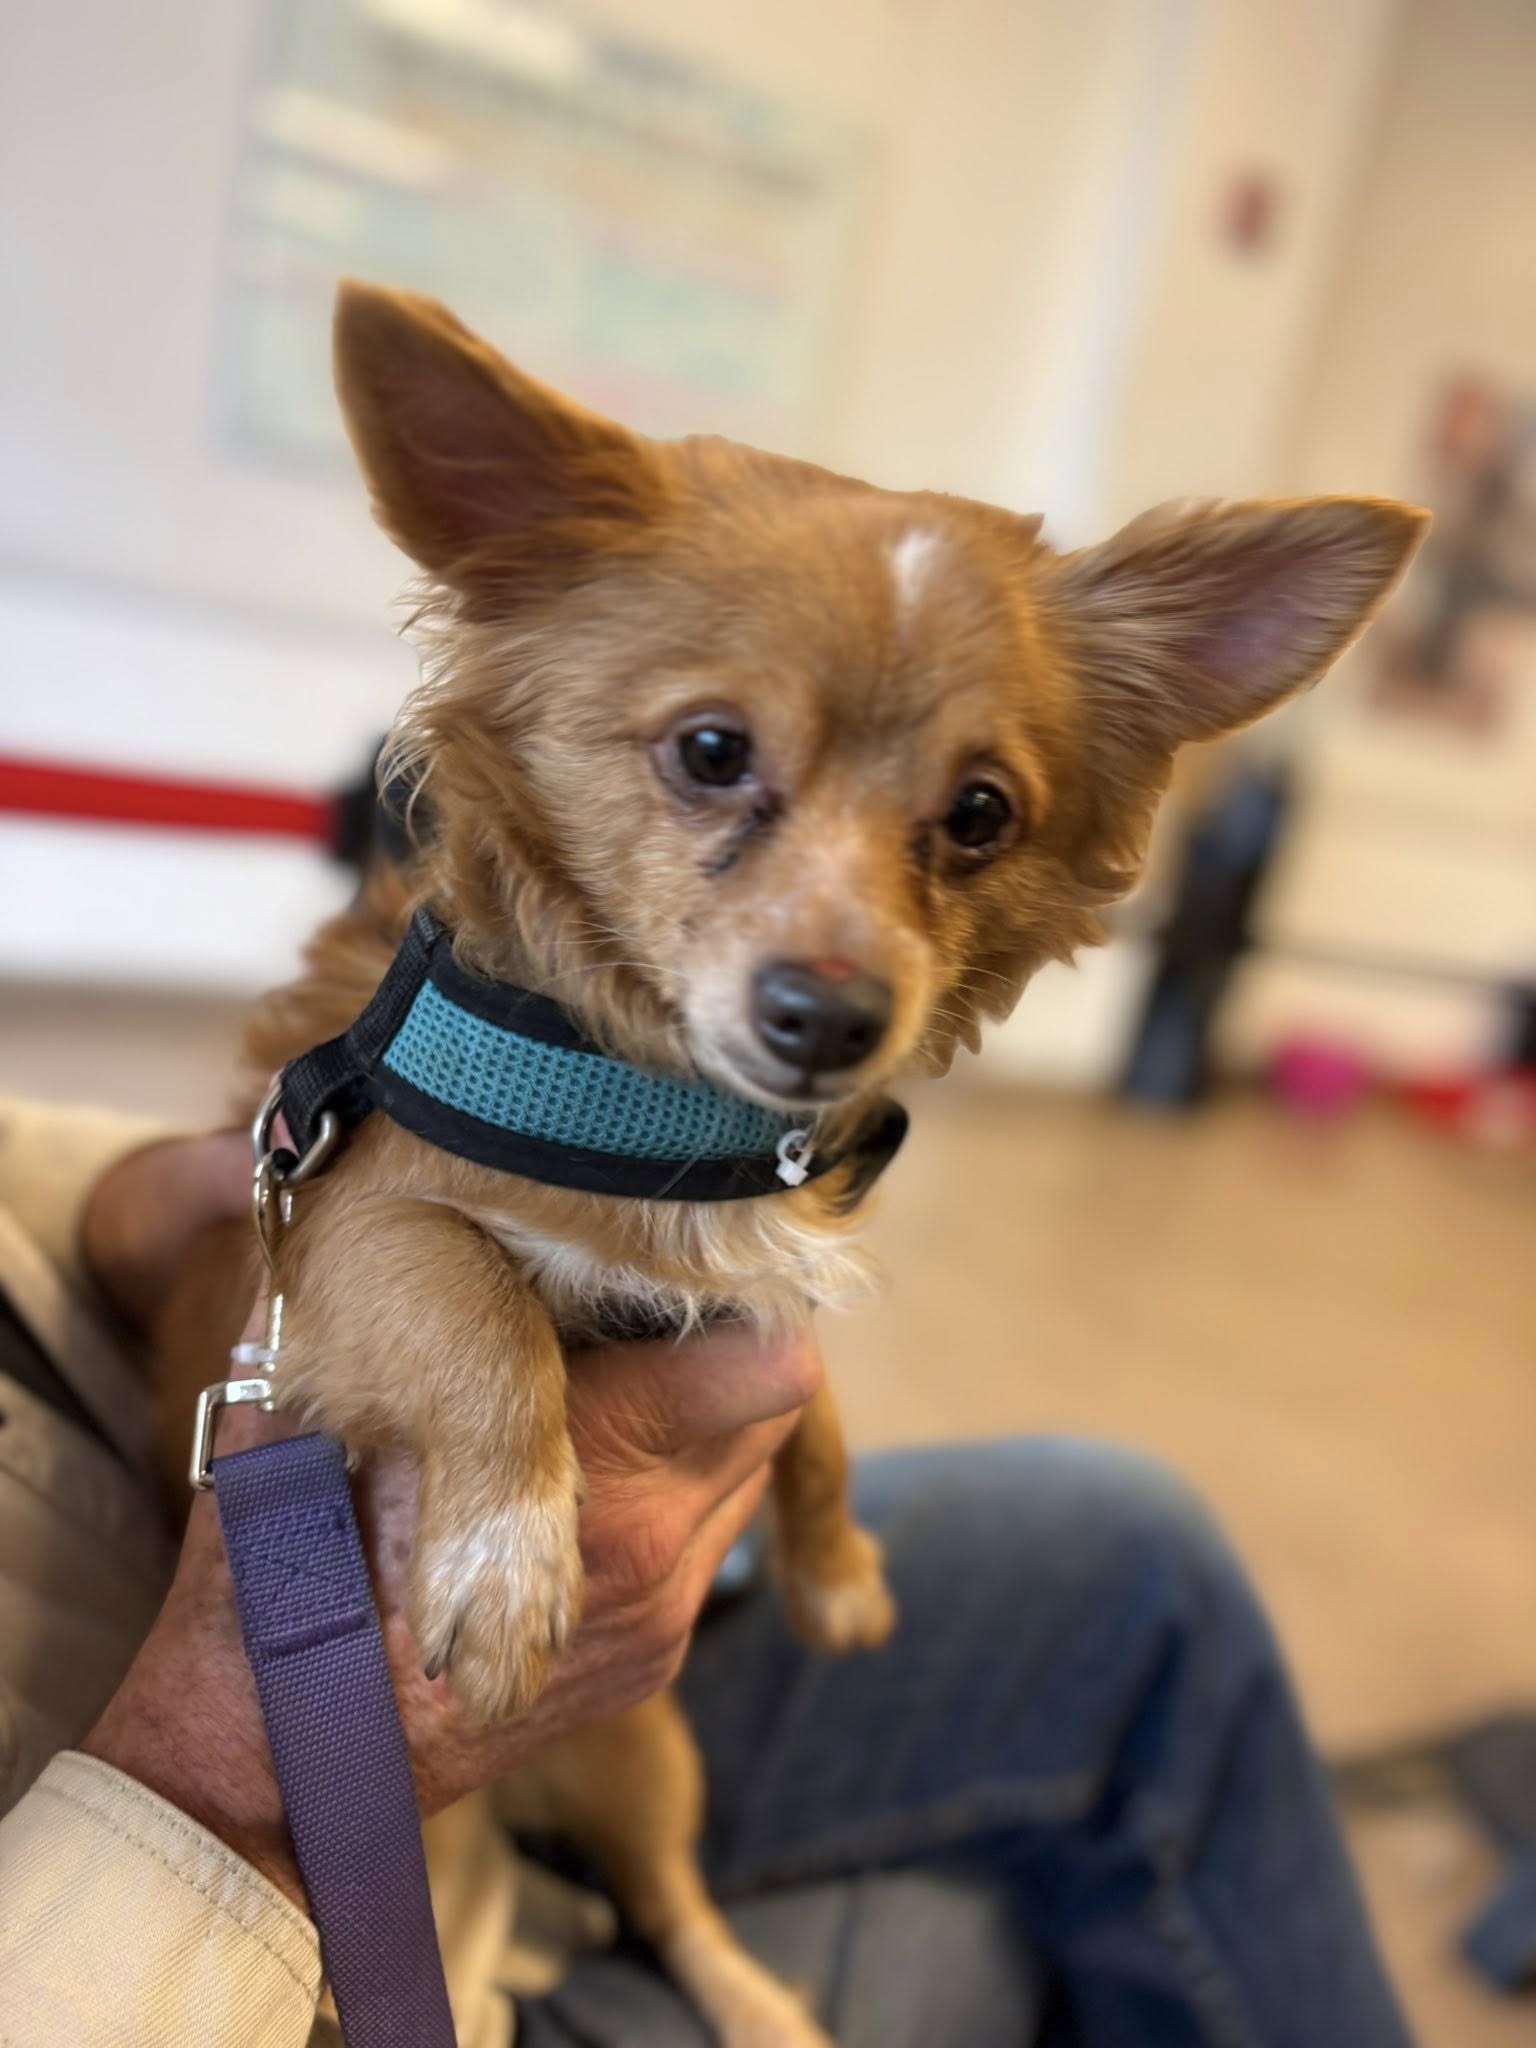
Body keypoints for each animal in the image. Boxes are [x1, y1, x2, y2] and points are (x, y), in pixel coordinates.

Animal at [157, 280, 1426, 2045]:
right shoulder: (337, 1234)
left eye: (982, 813)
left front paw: (830, 1563)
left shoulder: (753, 1298)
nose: (831, 1013)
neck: (649, 1110)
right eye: (708, 750)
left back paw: (763, 2003)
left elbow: (817, 1405)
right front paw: (505, 1568)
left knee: (675, 1907)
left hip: (644, 1755)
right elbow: (479, 1309)